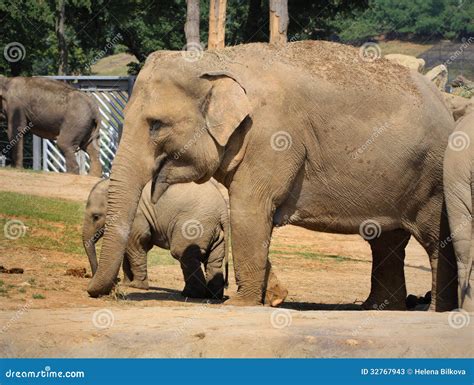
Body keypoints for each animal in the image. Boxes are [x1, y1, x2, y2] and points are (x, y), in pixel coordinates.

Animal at [83, 178, 230, 298]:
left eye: (96, 217)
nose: (115, 283)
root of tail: (223, 211)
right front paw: (127, 283)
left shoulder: (137, 216)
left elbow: (137, 243)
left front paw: (136, 286)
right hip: (215, 231)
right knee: (214, 259)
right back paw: (213, 296)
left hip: (195, 226)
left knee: (183, 253)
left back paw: (190, 294)